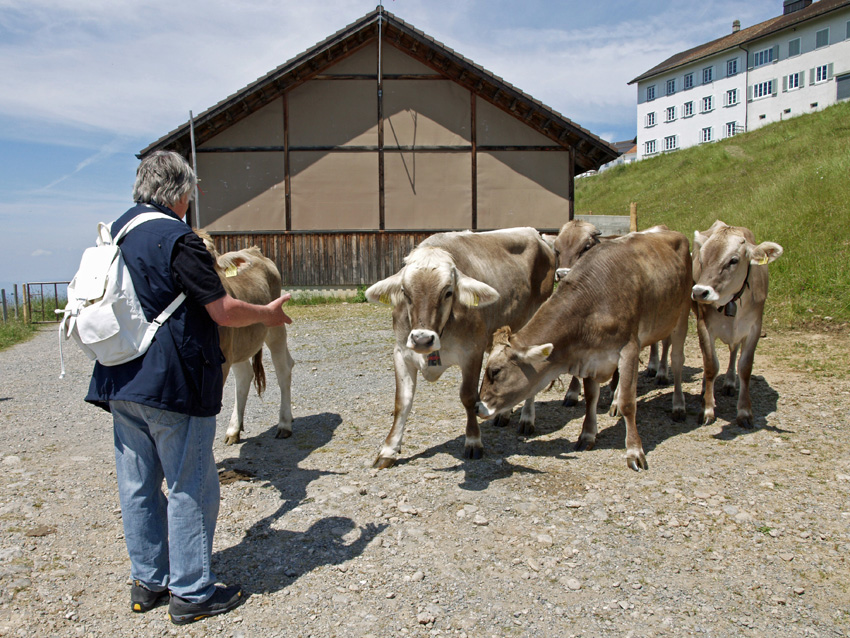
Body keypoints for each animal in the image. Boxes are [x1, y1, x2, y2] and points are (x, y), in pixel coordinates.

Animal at [199, 235, 294, 444]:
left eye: (212, 263)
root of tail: (253, 250)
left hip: (274, 326)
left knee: (283, 369)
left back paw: (285, 423)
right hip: (239, 344)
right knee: (245, 375)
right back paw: (234, 428)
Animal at [366, 228, 556, 468]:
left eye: (448, 292)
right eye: (405, 292)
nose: (422, 340)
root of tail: (536, 234)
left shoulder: (472, 352)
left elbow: (468, 397)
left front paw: (473, 441)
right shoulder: (401, 352)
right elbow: (402, 401)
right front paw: (389, 449)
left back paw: (527, 419)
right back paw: (504, 415)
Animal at [474, 229, 692, 470]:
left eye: (495, 372)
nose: (477, 407)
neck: (594, 302)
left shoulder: (629, 349)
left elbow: (628, 402)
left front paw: (635, 451)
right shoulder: (590, 356)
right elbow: (591, 397)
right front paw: (587, 435)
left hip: (681, 314)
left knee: (677, 361)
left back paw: (679, 406)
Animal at [688, 221, 780, 430]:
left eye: (733, 260)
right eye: (701, 259)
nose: (700, 292)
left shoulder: (754, 327)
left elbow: (745, 368)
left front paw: (745, 412)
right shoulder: (704, 325)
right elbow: (711, 365)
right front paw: (707, 409)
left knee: (733, 350)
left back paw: (730, 383)